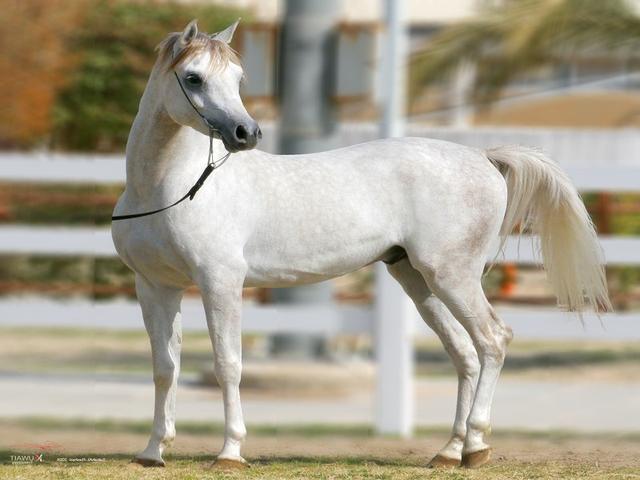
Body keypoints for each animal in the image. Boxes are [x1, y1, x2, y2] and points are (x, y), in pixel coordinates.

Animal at [111, 19, 611, 469]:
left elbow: (227, 365)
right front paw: (153, 452)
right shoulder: (155, 288)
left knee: (493, 341)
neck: (169, 188)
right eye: (194, 78)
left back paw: (477, 447)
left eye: (237, 78)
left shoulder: (220, 284)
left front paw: (230, 453)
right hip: (418, 281)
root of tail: (483, 157)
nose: (245, 134)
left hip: (453, 278)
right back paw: (450, 452)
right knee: (465, 354)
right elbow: (165, 367)